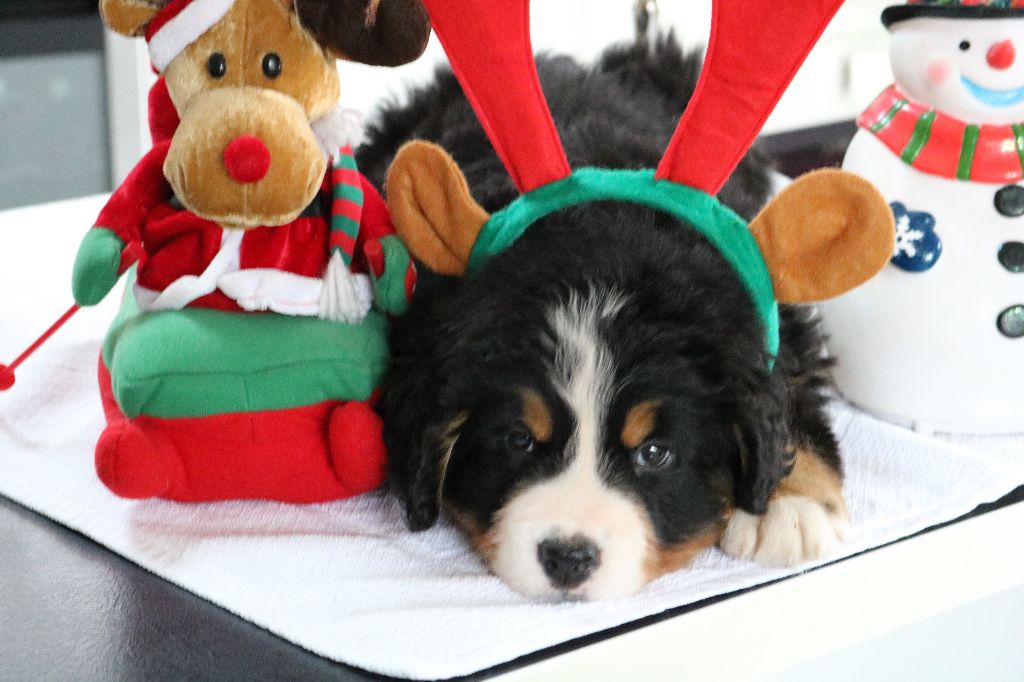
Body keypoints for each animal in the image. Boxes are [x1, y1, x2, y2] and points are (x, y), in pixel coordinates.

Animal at [356, 35, 851, 593]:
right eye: (518, 440)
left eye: (654, 453)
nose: (569, 558)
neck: (602, 256)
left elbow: (790, 390)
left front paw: (791, 507)